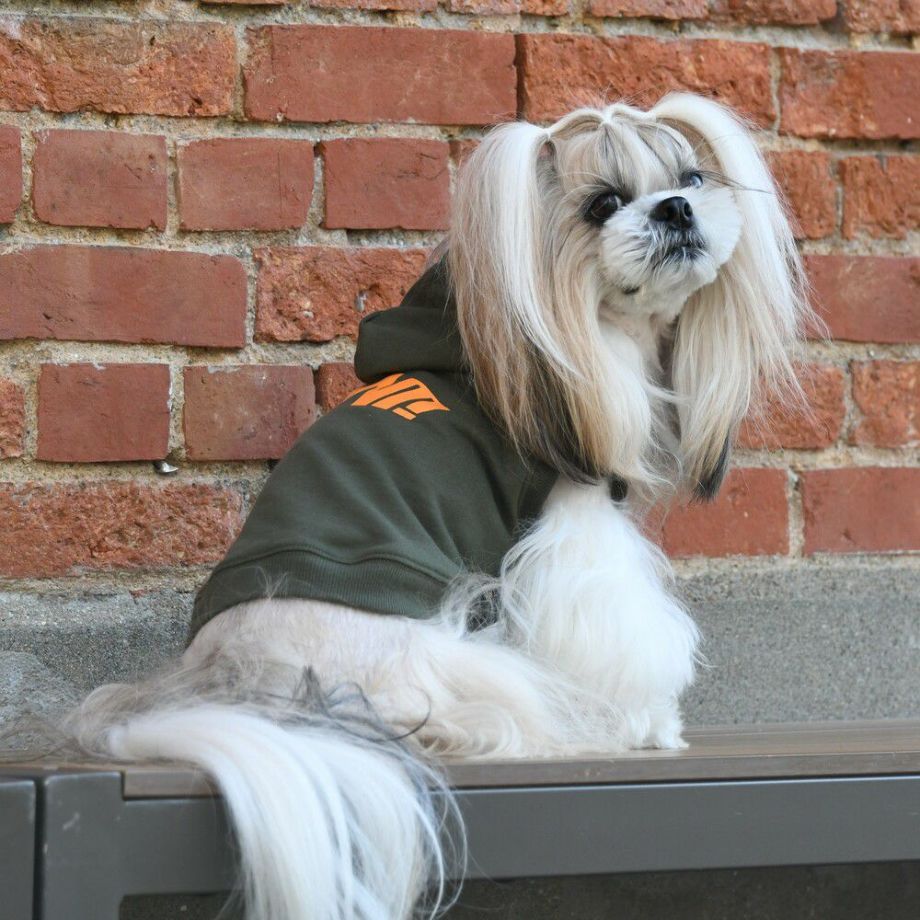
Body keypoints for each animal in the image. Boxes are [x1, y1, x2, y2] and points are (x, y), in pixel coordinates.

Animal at [61, 93, 810, 920]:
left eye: (691, 176)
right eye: (603, 205)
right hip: (438, 658)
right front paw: (648, 723)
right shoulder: (574, 524)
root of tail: (231, 681)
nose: (674, 207)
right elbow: (621, 631)